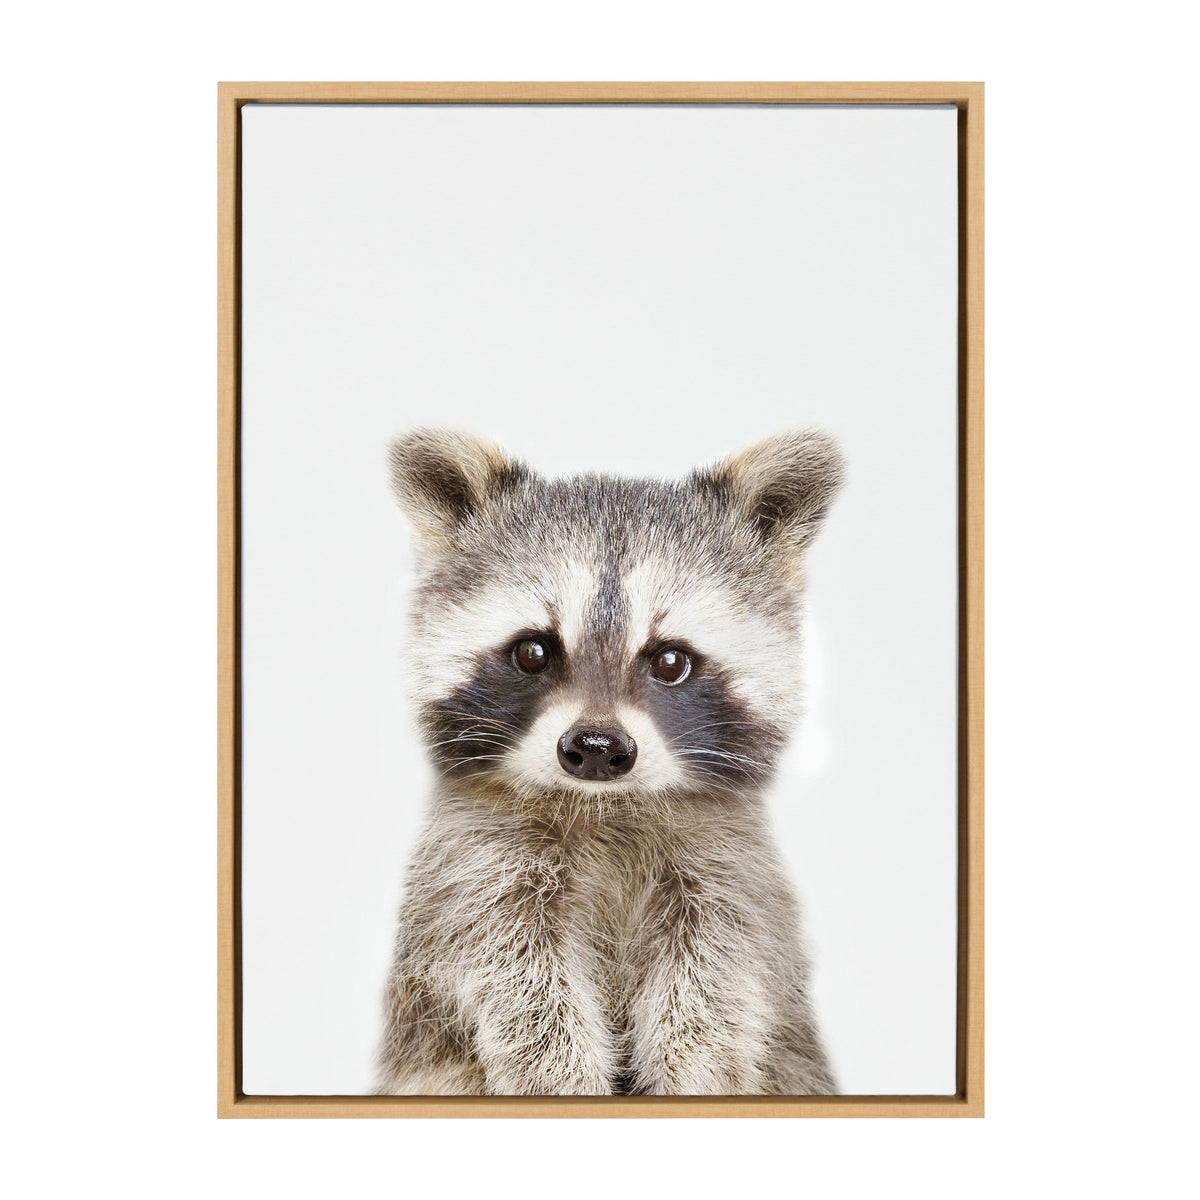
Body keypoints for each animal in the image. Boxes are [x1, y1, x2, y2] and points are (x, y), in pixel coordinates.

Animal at [375, 428, 844, 1096]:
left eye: (670, 660)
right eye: (533, 651)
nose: (596, 749)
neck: (605, 807)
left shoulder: (730, 871)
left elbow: (717, 983)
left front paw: (692, 1073)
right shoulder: (472, 868)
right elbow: (515, 978)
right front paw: (561, 1078)